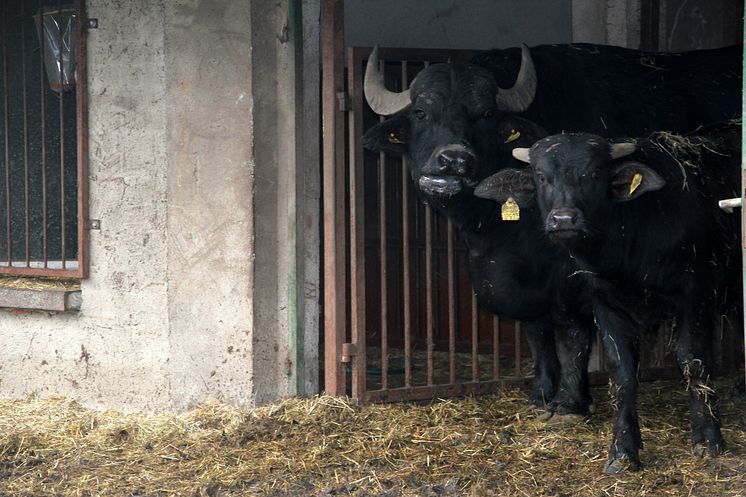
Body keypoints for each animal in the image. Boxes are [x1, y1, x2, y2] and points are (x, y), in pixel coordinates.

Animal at [360, 40, 740, 416]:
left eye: (486, 114)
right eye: (421, 113)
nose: (453, 161)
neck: (498, 230)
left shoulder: (574, 274)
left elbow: (572, 333)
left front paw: (569, 401)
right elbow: (536, 332)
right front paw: (541, 392)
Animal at [474, 122, 740, 470]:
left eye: (594, 173)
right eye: (541, 176)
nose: (563, 220)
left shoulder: (696, 294)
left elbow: (693, 361)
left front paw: (708, 437)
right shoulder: (606, 303)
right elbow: (621, 371)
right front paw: (623, 451)